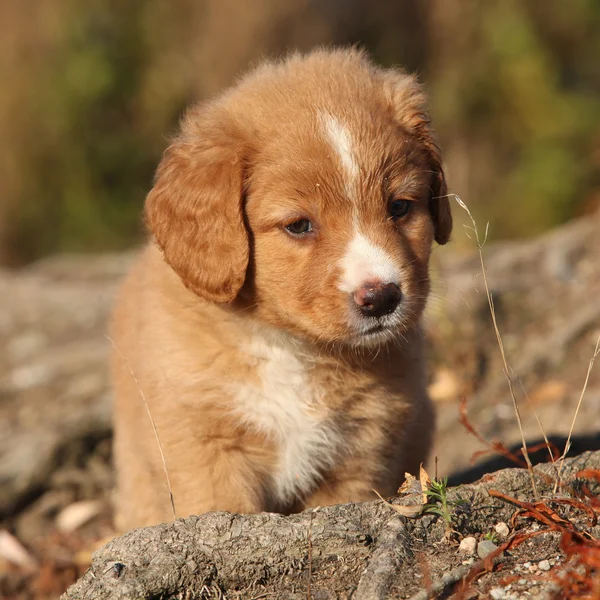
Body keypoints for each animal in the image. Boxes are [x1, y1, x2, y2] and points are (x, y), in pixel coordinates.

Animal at [111, 49, 450, 532]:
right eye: (299, 226)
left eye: (400, 207)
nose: (382, 297)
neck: (291, 349)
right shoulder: (205, 450)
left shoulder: (360, 452)